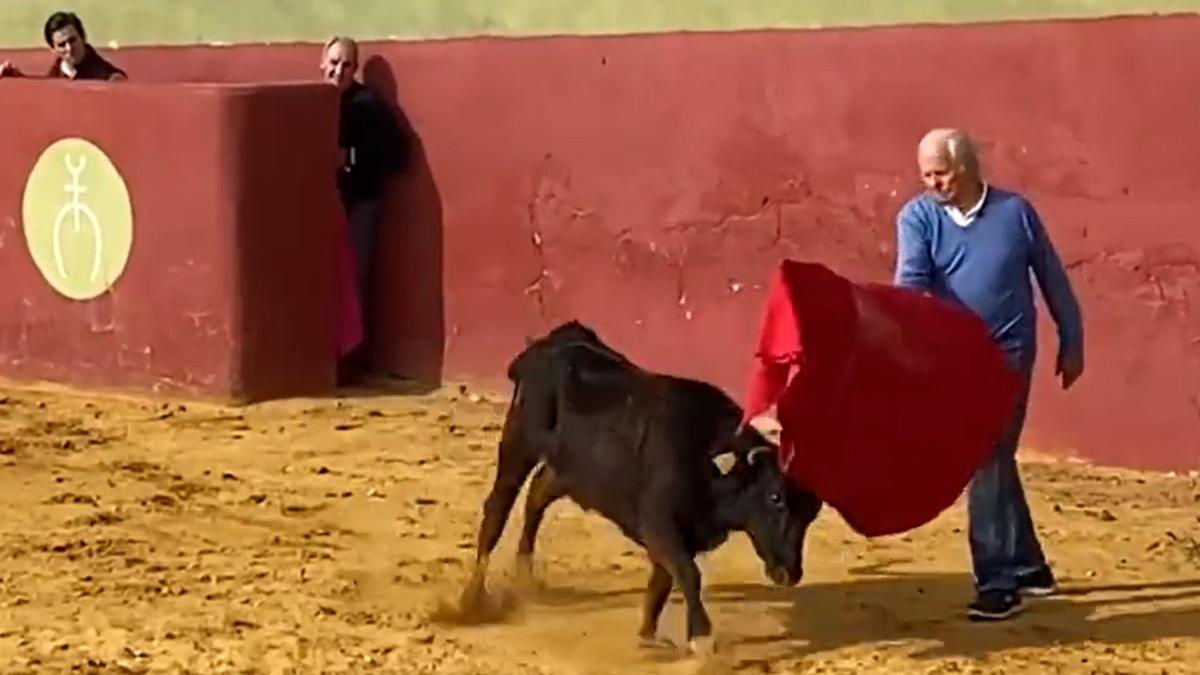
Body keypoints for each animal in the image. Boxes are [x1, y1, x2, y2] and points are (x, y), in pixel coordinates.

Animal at [458, 319, 825, 653]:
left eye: (812, 512)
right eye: (775, 497)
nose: (790, 574)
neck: (706, 456)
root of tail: (552, 342)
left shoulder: (677, 535)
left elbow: (661, 583)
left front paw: (647, 635)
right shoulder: (660, 525)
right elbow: (688, 574)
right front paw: (702, 639)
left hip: (569, 470)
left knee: (538, 493)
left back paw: (525, 576)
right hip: (518, 446)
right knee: (497, 511)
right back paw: (472, 599)